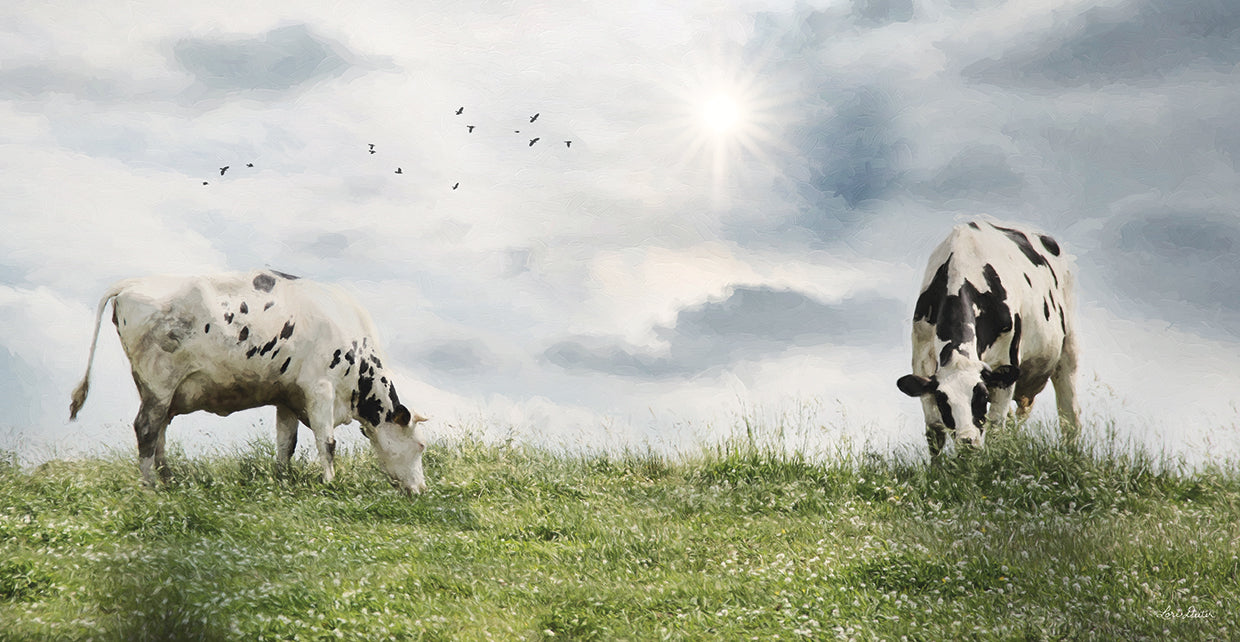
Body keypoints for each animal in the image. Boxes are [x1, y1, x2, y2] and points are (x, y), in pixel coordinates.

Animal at [68, 270, 429, 495]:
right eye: (421, 446)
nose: (420, 490)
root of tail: (130, 283)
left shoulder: (288, 396)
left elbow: (286, 444)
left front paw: (282, 480)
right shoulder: (320, 389)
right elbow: (327, 442)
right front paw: (329, 482)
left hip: (158, 390)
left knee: (159, 431)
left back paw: (169, 479)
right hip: (160, 382)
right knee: (146, 429)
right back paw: (150, 487)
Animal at [897, 221, 1080, 457]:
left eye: (981, 396)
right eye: (942, 401)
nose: (967, 442)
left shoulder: (1006, 364)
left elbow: (995, 428)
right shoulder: (922, 362)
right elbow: (935, 432)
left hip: (1068, 346)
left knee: (1070, 416)